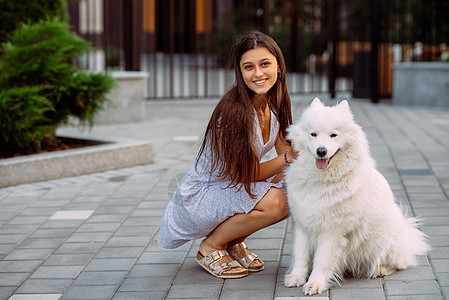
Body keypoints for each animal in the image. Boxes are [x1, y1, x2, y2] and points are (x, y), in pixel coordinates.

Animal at [284, 98, 428, 296]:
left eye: (333, 135)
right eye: (313, 134)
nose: (321, 151)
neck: (321, 180)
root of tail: (408, 235)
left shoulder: (332, 230)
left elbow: (322, 260)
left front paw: (315, 283)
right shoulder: (302, 224)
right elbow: (300, 254)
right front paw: (297, 277)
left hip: (382, 240)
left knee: (399, 264)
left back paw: (380, 269)